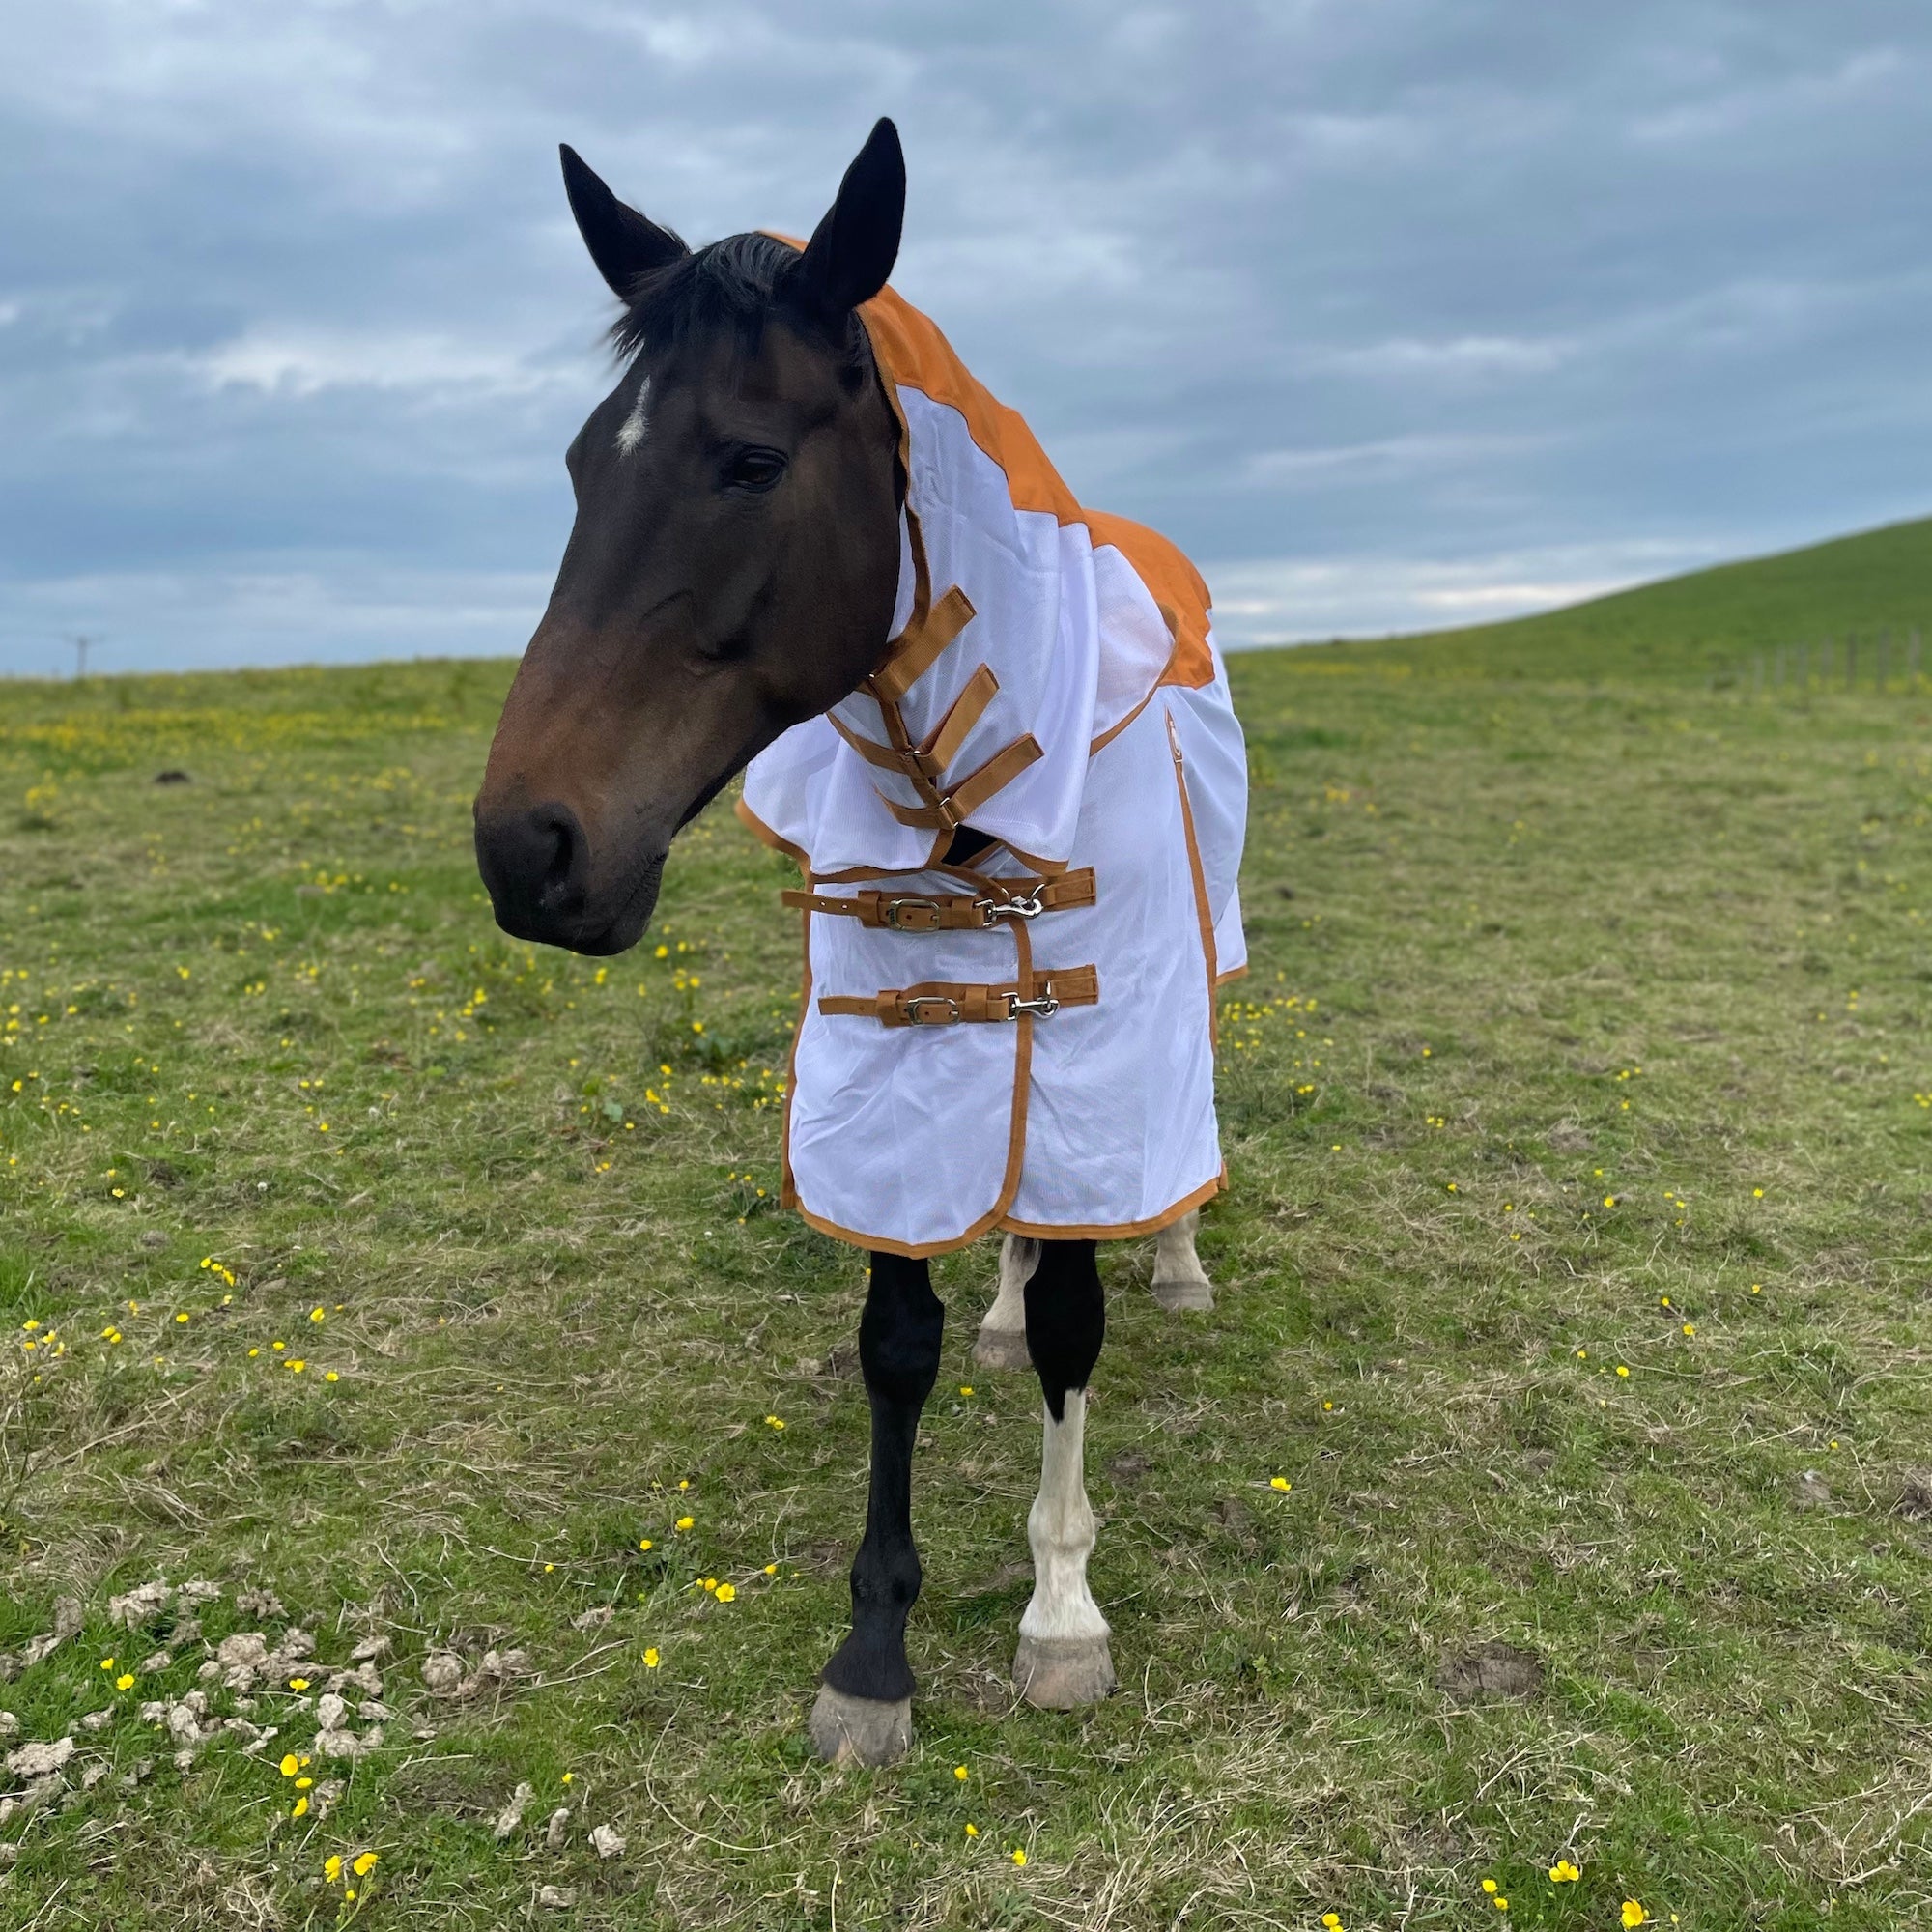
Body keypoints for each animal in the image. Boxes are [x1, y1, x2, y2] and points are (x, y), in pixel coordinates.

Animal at [474, 119, 1247, 1766]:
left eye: (750, 460)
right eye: (579, 465)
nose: (528, 849)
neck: (966, 796)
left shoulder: (1103, 1031)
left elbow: (1082, 1314)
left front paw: (1059, 1614)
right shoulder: (892, 1073)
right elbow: (902, 1332)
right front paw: (875, 1649)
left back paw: (1178, 1260)